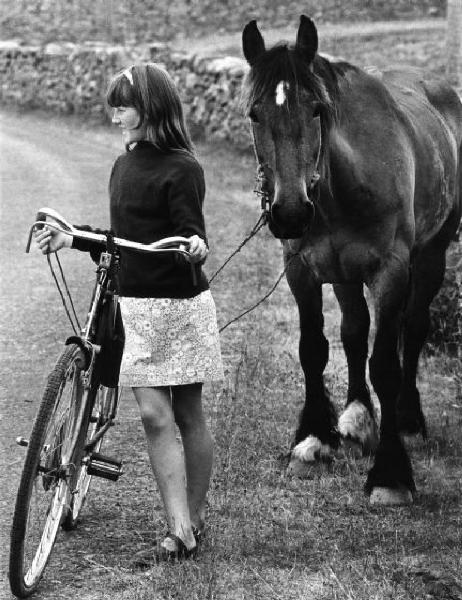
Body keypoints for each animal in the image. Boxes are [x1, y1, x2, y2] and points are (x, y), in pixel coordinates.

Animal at [240, 14, 460, 504]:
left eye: (316, 109)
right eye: (255, 113)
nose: (290, 212)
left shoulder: (390, 272)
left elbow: (386, 364)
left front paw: (391, 475)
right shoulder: (301, 270)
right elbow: (315, 349)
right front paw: (314, 438)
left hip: (432, 255)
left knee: (414, 327)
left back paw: (408, 419)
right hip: (342, 273)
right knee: (355, 331)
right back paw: (358, 419)